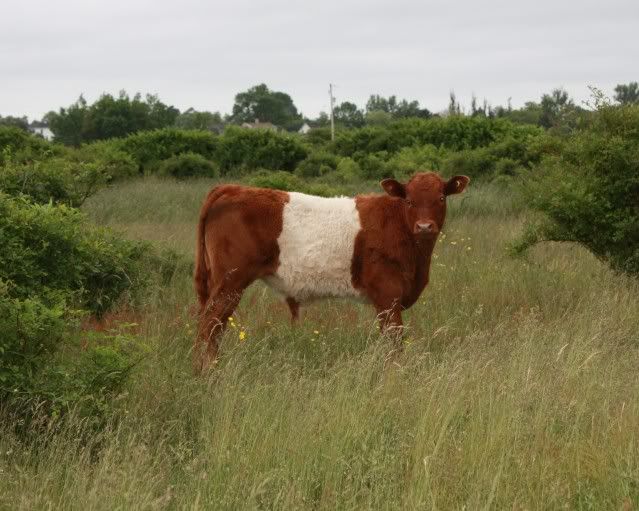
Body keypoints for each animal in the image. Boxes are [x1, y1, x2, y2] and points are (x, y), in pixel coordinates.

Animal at [192, 172, 468, 372]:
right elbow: (394, 341)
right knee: (210, 324)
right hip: (231, 282)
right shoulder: (388, 296)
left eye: (441, 198)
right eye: (409, 200)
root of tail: (231, 188)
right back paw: (210, 374)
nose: (424, 226)